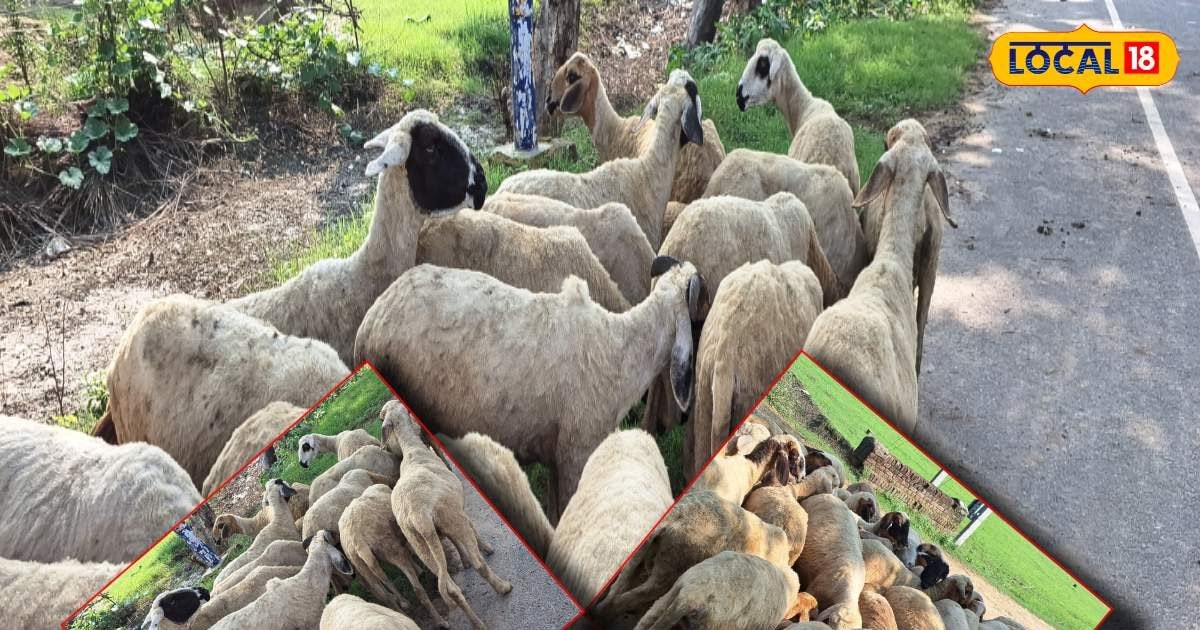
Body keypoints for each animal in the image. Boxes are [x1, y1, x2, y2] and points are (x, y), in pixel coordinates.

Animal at [339, 483, 447, 627]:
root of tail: (356, 539)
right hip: (390, 549)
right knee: (417, 589)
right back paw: (440, 620)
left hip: (360, 564)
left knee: (382, 594)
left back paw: (403, 609)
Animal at [380, 400, 512, 630]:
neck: (413, 449)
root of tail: (418, 516)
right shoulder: (456, 514)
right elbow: (472, 529)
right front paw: (486, 547)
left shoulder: (444, 526)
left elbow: (454, 542)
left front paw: (463, 561)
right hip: (450, 520)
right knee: (479, 564)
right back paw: (503, 587)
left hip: (421, 544)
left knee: (450, 588)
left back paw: (477, 623)